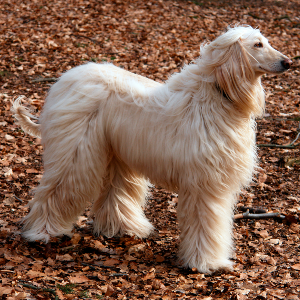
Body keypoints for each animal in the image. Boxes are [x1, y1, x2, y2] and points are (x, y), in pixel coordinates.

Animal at [12, 27, 290, 274]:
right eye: (258, 45)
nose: (287, 62)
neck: (216, 95)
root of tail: (64, 80)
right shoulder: (204, 184)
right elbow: (207, 223)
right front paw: (206, 263)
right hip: (75, 152)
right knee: (56, 190)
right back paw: (41, 232)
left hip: (116, 151)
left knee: (115, 190)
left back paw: (123, 227)